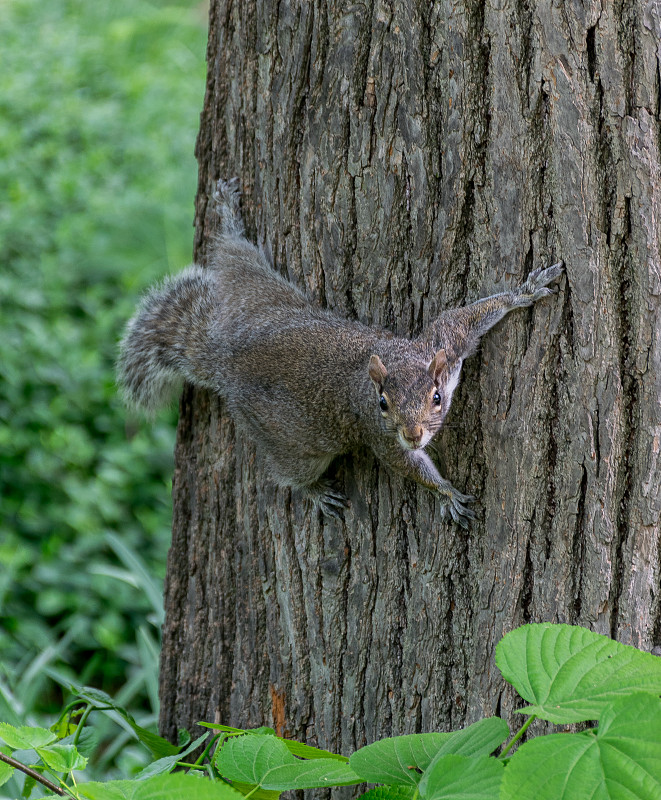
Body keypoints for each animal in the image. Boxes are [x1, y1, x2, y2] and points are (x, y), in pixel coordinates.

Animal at [118, 182, 564, 532]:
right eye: (382, 404)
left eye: (436, 397)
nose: (413, 434)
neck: (398, 361)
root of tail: (226, 355)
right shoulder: (378, 434)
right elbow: (405, 465)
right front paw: (447, 493)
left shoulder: (444, 345)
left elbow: (465, 317)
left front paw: (524, 292)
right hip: (289, 440)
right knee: (290, 474)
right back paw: (315, 493)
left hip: (259, 291)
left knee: (233, 252)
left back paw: (228, 215)